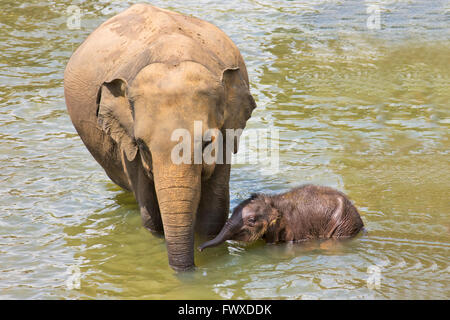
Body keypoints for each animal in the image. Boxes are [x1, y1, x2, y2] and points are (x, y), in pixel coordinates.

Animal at [62, 3, 256, 272]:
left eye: (207, 143)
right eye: (142, 146)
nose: (193, 268)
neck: (173, 55)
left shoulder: (227, 134)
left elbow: (213, 214)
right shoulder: (127, 143)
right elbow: (152, 216)